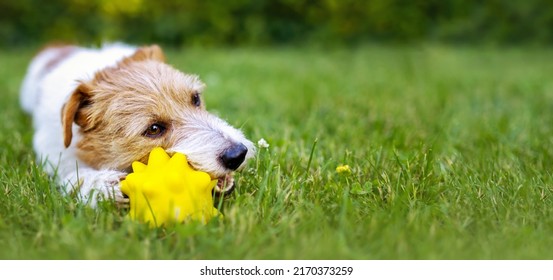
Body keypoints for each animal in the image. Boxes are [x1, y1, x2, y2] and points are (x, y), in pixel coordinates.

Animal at [20, 42, 254, 207]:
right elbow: (71, 171)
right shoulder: (53, 150)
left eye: (195, 98)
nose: (237, 154)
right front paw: (101, 184)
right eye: (154, 129)